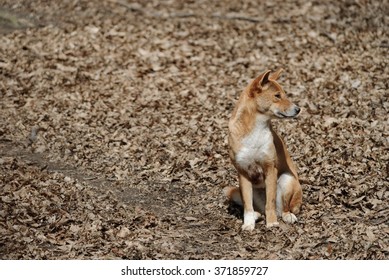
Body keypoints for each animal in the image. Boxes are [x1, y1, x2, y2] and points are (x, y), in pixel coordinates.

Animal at [224, 68, 304, 230]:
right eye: (277, 96)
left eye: (285, 94)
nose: (298, 109)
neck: (255, 129)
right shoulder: (243, 172)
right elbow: (248, 206)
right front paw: (248, 225)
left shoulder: (270, 168)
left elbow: (270, 202)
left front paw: (272, 223)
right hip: (234, 191)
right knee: (257, 209)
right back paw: (257, 216)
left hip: (287, 179)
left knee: (284, 208)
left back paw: (286, 216)